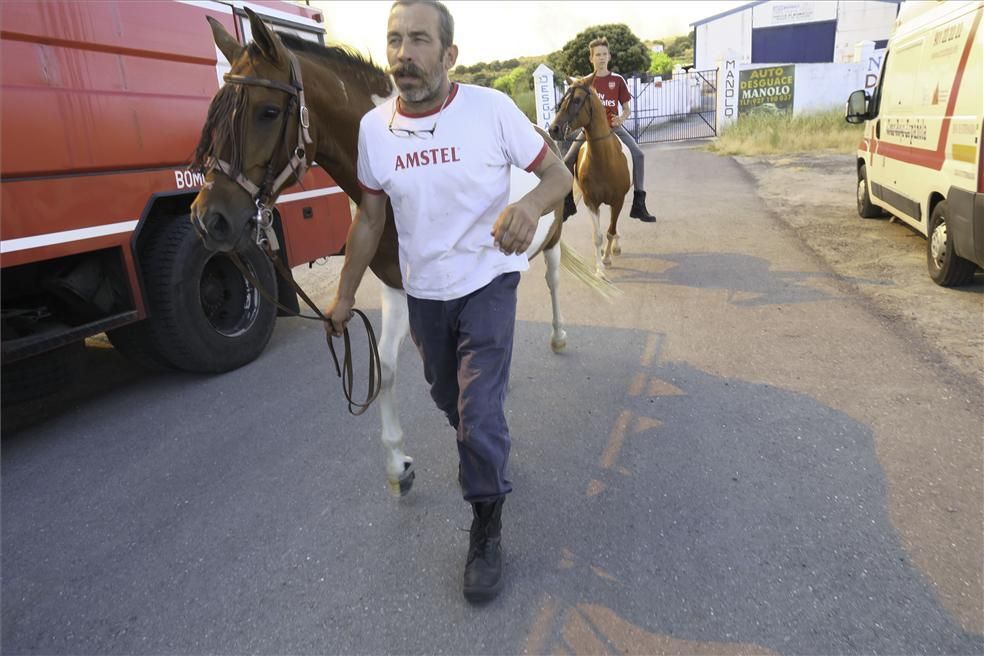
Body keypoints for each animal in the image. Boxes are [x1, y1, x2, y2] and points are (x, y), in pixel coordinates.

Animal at [544, 75, 632, 278]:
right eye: (561, 101)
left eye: (576, 100)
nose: (553, 129)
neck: (604, 160)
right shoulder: (591, 202)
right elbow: (597, 236)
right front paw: (599, 268)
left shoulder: (618, 200)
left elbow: (610, 230)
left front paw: (607, 258)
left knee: (613, 225)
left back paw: (615, 247)